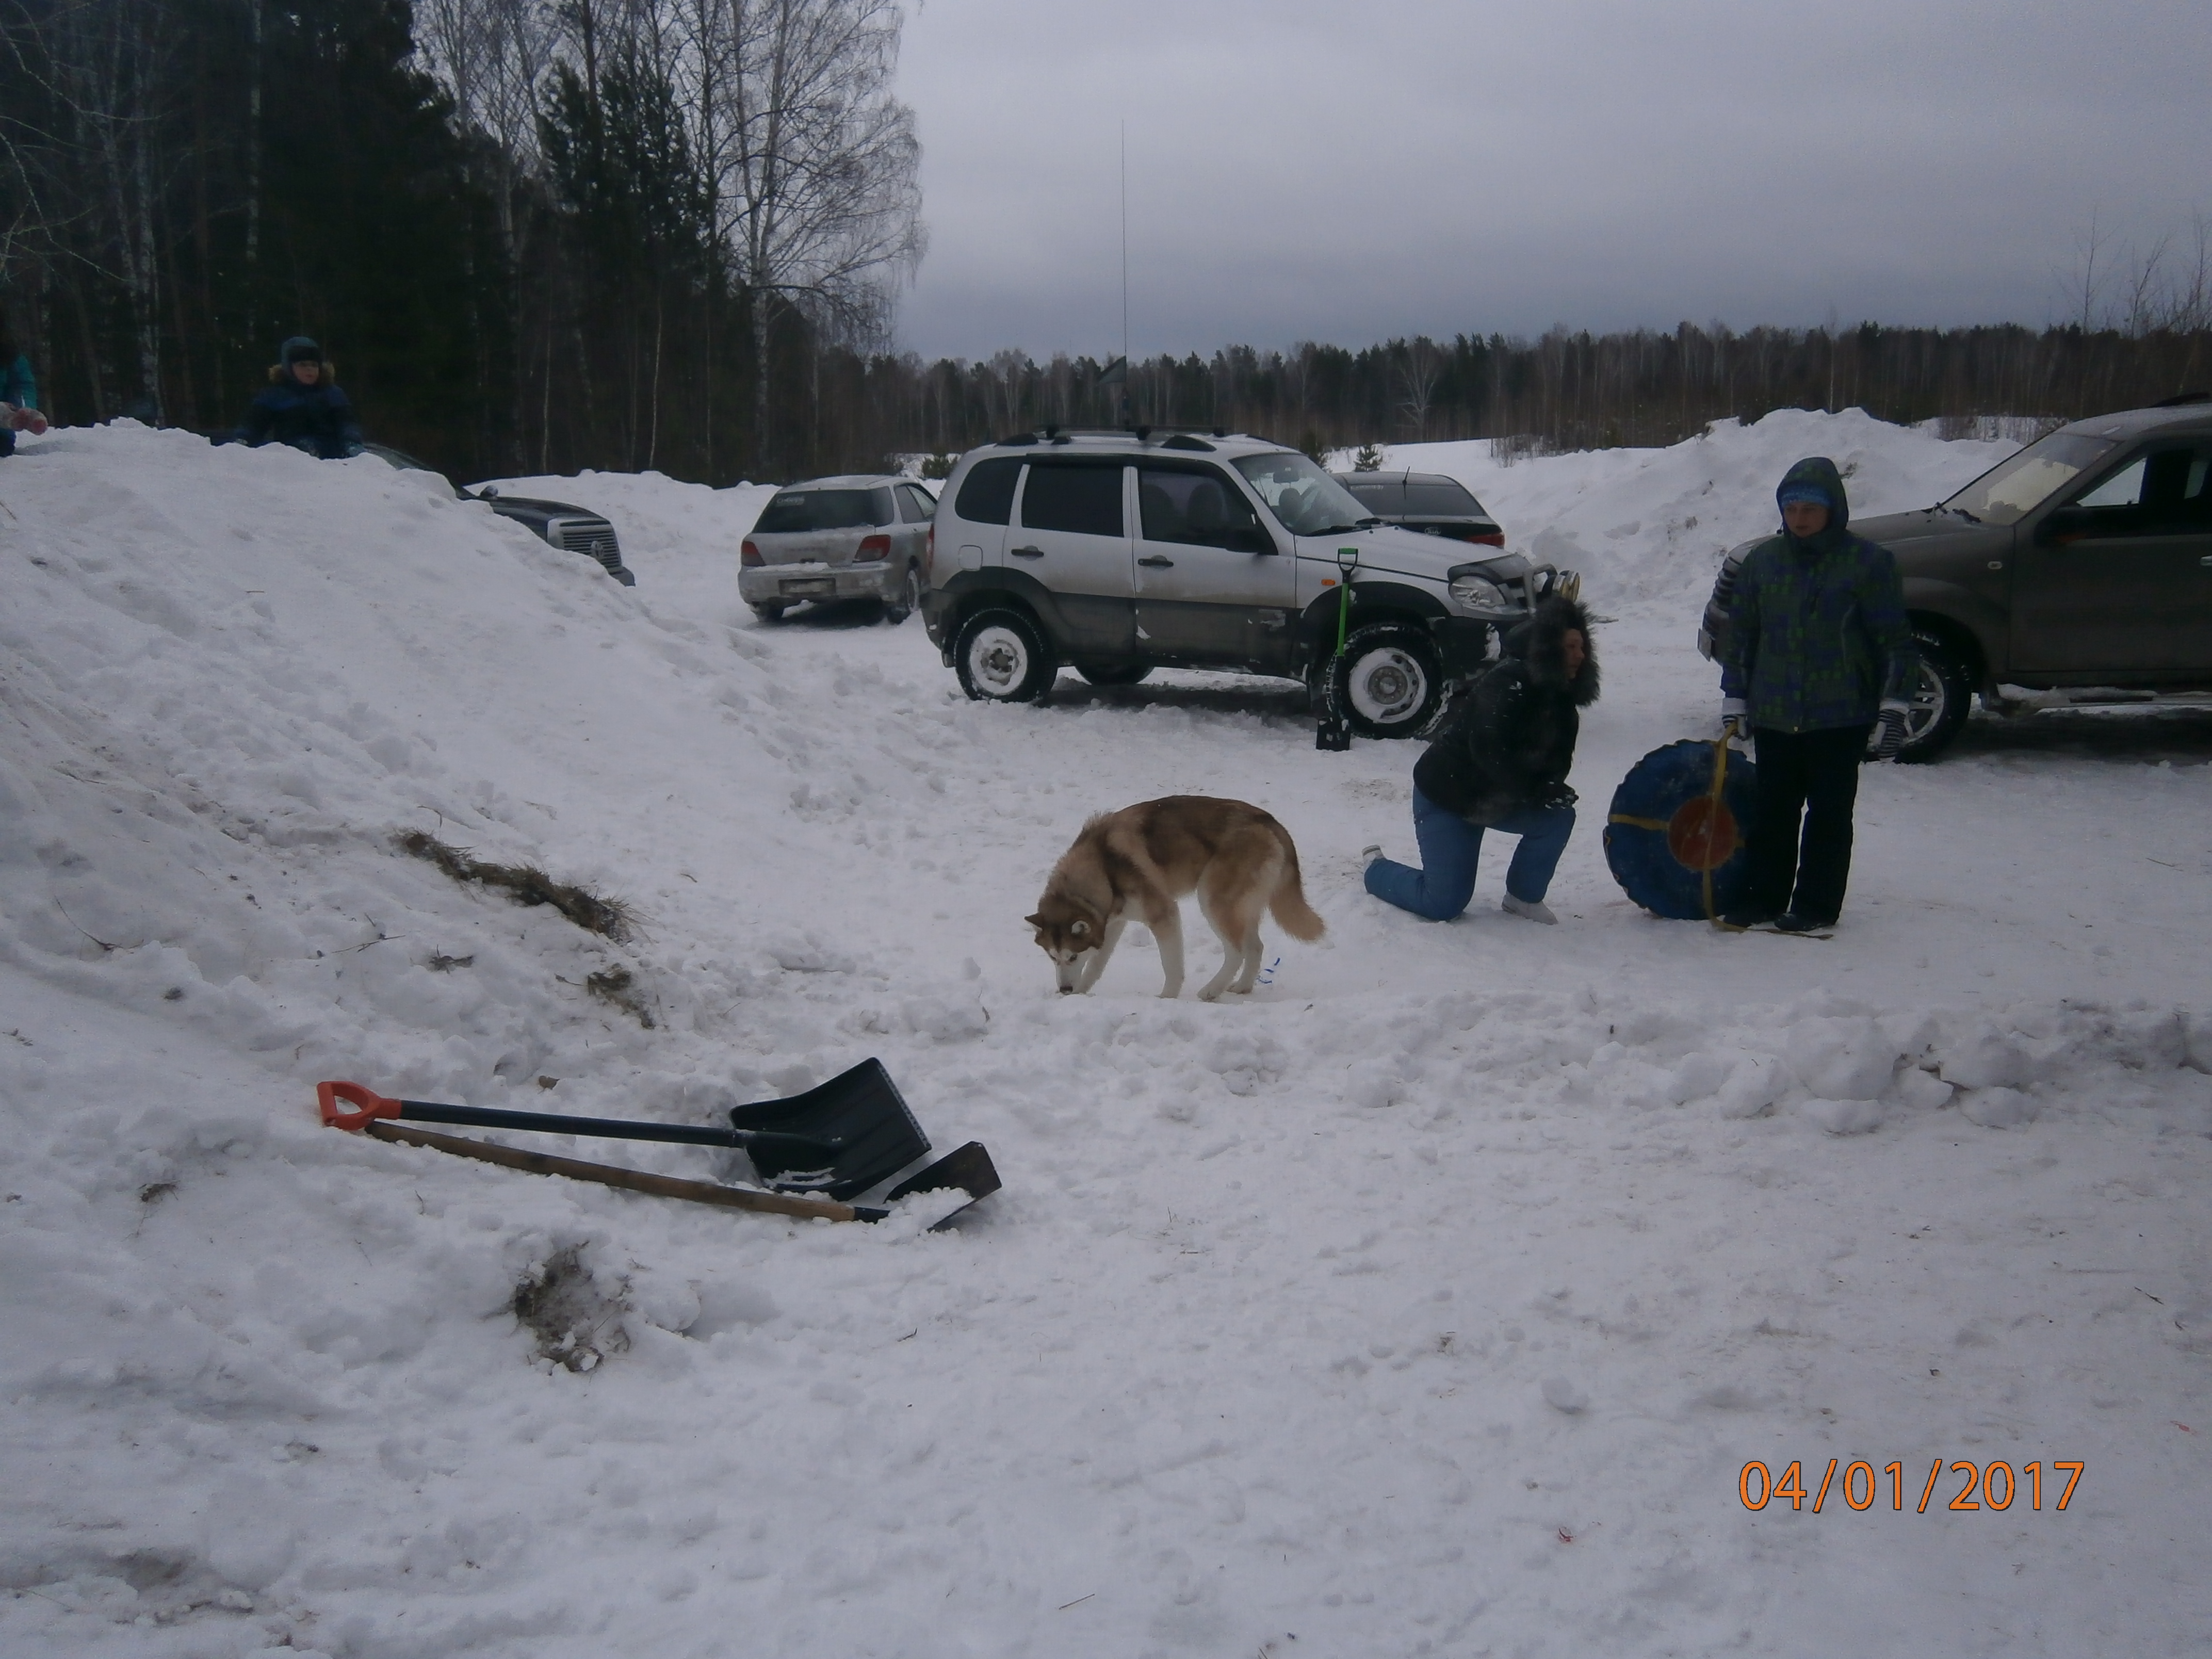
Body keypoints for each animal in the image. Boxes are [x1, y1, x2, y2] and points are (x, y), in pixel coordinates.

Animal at [1028, 796, 1325, 1000]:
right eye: (1053, 958)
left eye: (1072, 957)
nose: (1065, 989)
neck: (1103, 866)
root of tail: (1269, 820)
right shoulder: (1111, 924)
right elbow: (1096, 965)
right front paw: (1081, 993)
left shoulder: (1164, 914)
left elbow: (1171, 966)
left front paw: (1167, 998)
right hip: (1240, 907)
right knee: (1255, 948)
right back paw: (1241, 987)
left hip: (1213, 901)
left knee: (1237, 951)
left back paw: (1211, 990)